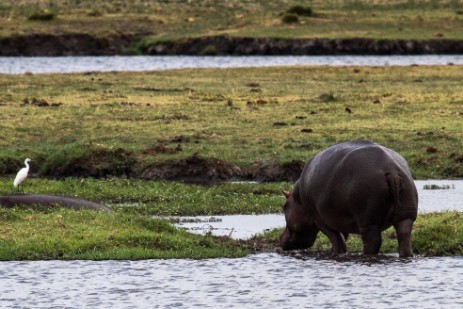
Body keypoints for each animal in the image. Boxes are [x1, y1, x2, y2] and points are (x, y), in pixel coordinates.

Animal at [280, 141, 418, 256]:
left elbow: (335, 239)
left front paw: (336, 253)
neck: (298, 199)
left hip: (367, 221)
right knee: (404, 237)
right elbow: (342, 238)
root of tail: (392, 171)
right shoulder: (340, 219)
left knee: (373, 242)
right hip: (405, 216)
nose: (280, 238)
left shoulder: (319, 220)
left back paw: (365, 255)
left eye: (284, 207)